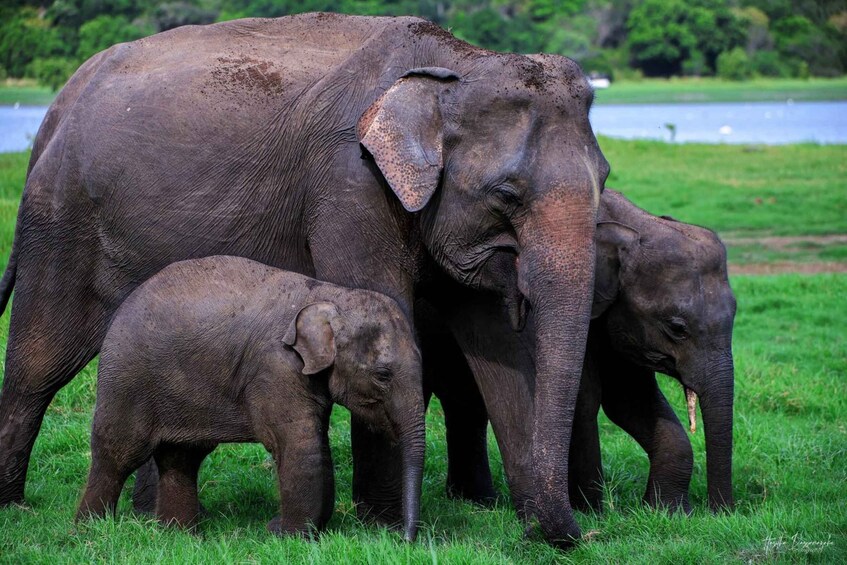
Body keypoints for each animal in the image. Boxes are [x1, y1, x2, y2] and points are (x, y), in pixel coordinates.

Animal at [76, 256, 425, 540]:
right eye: (383, 375)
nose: (404, 540)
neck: (329, 294)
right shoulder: (274, 367)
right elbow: (299, 445)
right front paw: (289, 537)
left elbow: (316, 443)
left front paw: (288, 531)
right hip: (126, 377)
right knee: (118, 453)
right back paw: (90, 531)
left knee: (182, 457)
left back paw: (180, 536)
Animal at [422, 189, 735, 515]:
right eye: (677, 328)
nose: (719, 512)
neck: (634, 225)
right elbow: (584, 399)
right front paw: (592, 512)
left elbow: (629, 400)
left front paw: (667, 512)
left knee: (463, 399)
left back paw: (475, 500)